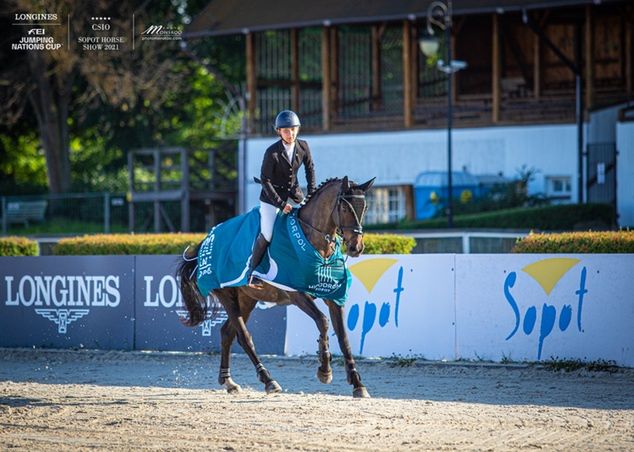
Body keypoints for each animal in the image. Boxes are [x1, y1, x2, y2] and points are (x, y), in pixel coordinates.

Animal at [175, 175, 372, 398]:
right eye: (345, 208)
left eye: (364, 207)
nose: (356, 247)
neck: (313, 242)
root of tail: (205, 242)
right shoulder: (297, 295)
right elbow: (322, 322)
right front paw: (324, 370)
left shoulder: (333, 296)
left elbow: (344, 339)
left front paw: (357, 384)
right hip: (227, 295)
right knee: (243, 337)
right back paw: (268, 380)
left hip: (247, 299)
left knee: (227, 333)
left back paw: (229, 382)